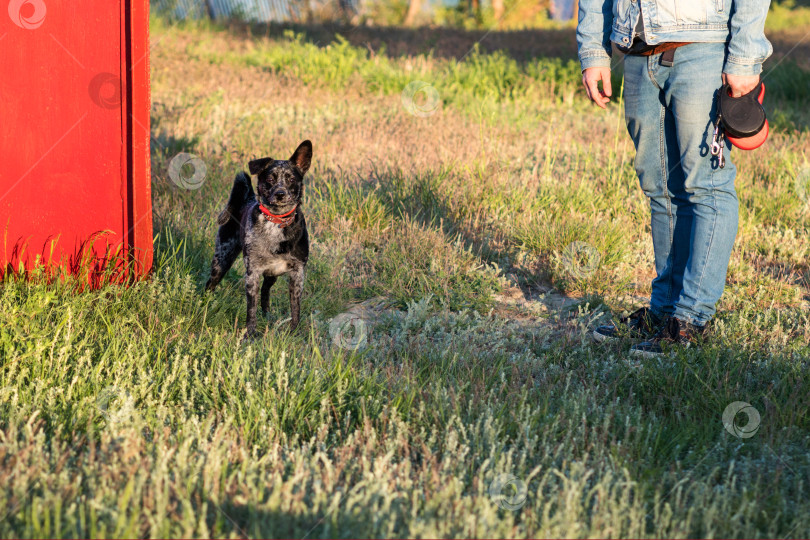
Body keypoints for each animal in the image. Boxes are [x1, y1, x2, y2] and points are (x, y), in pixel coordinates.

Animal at [205, 140, 312, 338]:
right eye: (270, 179)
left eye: (291, 179)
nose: (280, 194)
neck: (276, 222)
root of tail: (246, 198)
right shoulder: (252, 274)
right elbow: (251, 310)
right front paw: (250, 334)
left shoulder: (297, 273)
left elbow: (295, 308)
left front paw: (293, 331)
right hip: (221, 260)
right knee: (210, 283)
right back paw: (205, 304)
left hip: (272, 274)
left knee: (265, 290)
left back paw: (267, 314)